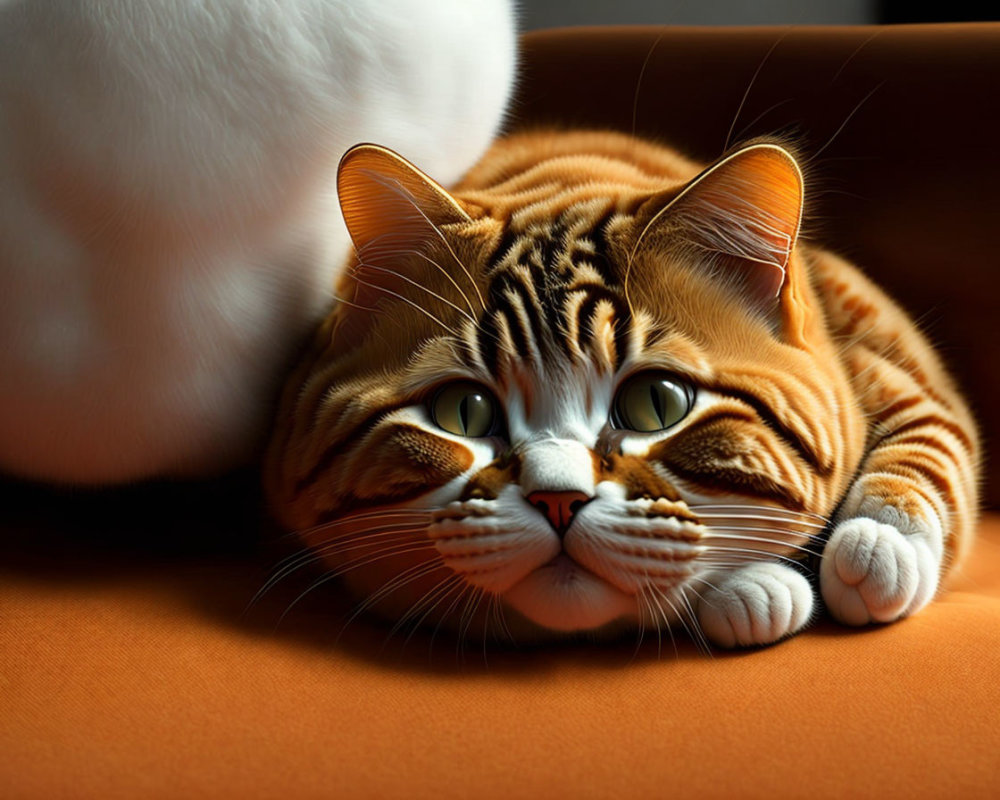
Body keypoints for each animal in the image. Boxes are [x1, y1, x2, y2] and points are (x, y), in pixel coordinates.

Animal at [262, 128, 980, 648]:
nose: (557, 498)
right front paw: (755, 591)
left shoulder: (867, 335)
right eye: (463, 412)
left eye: (656, 403)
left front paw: (878, 547)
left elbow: (932, 431)